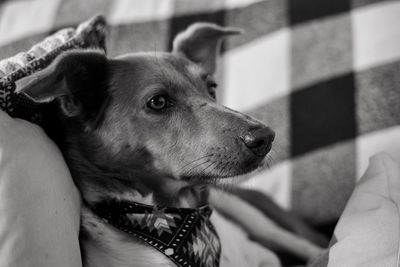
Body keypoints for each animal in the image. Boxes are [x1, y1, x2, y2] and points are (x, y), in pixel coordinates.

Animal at [16, 23, 324, 267]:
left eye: (212, 88)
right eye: (158, 102)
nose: (266, 137)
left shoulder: (265, 258)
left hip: (256, 218)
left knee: (309, 246)